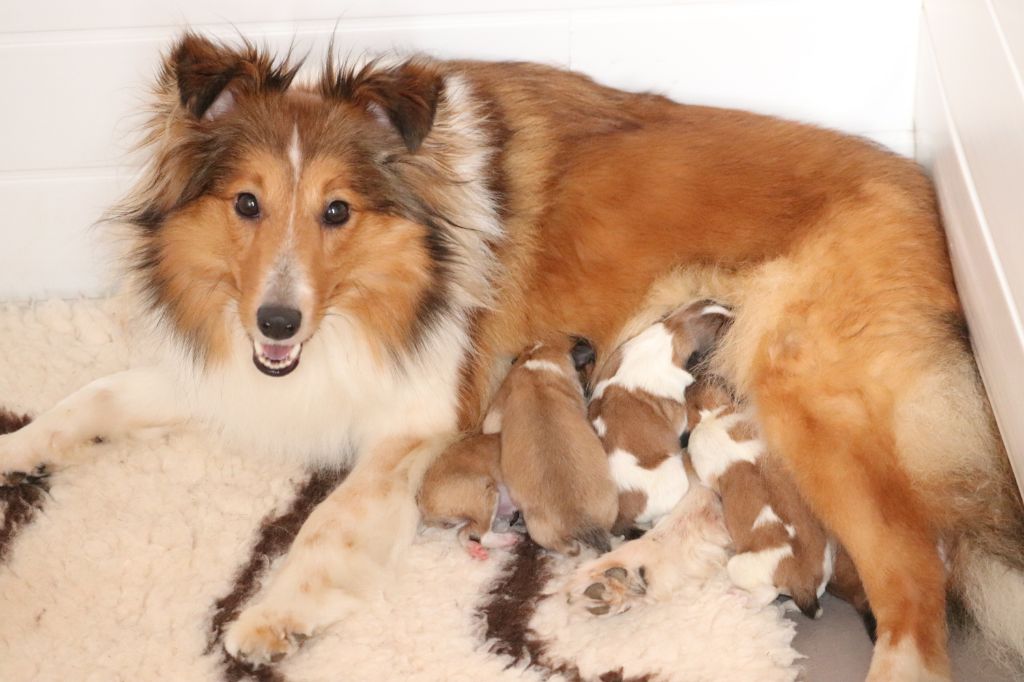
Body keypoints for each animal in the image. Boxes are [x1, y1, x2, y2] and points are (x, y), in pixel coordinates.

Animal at [415, 432, 520, 561]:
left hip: (468, 517)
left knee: (463, 533)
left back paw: (474, 548)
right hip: (487, 493)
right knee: (484, 537)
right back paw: (508, 539)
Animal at [684, 372, 835, 614]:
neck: (713, 415)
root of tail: (801, 579)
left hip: (737, 566)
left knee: (767, 594)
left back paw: (742, 597)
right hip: (825, 561)